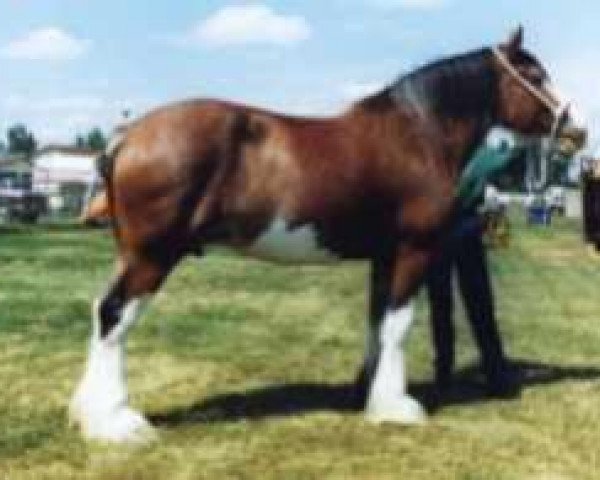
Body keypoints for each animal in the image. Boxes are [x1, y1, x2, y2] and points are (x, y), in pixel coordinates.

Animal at [70, 28, 584, 442]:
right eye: (534, 75)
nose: (576, 131)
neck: (418, 134)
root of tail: (128, 136)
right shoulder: (413, 250)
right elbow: (399, 323)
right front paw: (396, 407)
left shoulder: (384, 256)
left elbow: (379, 322)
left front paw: (367, 394)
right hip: (151, 256)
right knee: (115, 315)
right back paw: (116, 421)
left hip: (134, 254)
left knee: (101, 311)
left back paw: (88, 413)